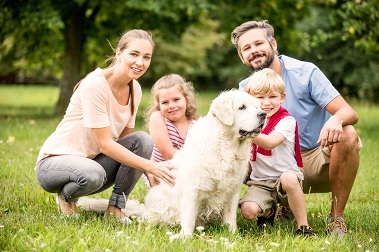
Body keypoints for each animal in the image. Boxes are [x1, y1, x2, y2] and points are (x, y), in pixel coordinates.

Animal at [78, 90, 266, 236]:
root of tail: (145, 208)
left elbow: (230, 217)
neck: (226, 147)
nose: (263, 114)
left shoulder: (232, 190)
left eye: (257, 106)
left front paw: (233, 235)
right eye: (242, 107)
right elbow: (189, 217)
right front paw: (185, 238)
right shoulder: (193, 189)